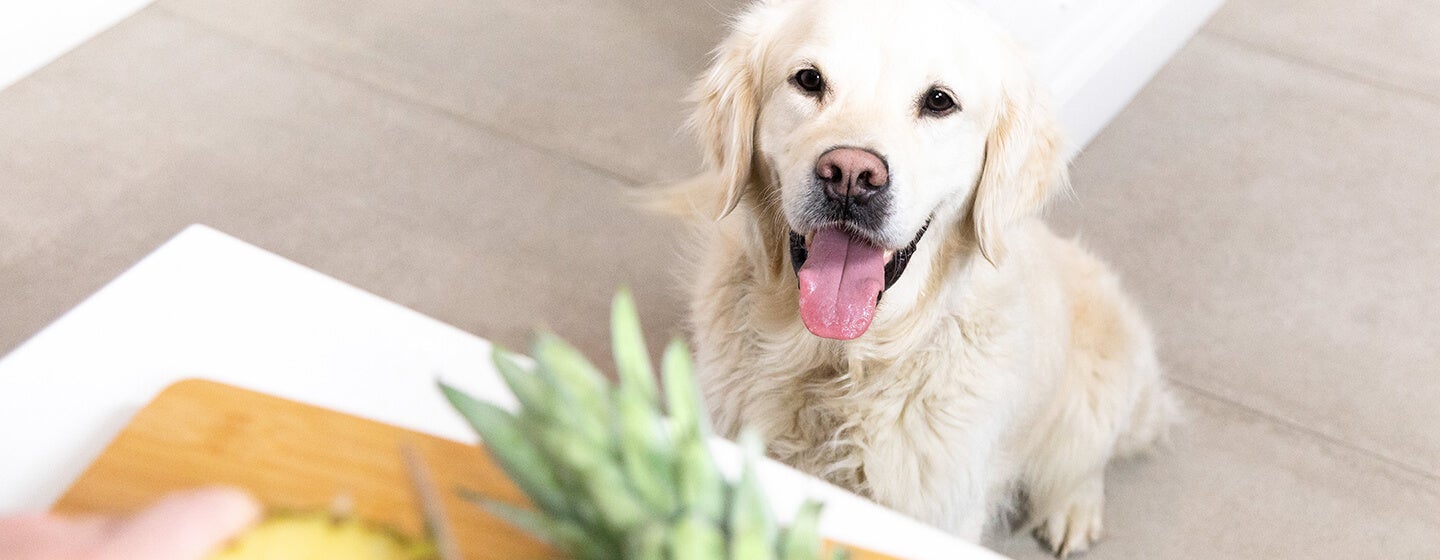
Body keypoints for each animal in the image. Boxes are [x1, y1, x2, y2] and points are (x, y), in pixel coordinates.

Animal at [673, 0, 1180, 552]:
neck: (840, 363)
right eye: (808, 80)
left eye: (939, 101)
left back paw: (1073, 509)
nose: (850, 175)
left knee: (1086, 457)